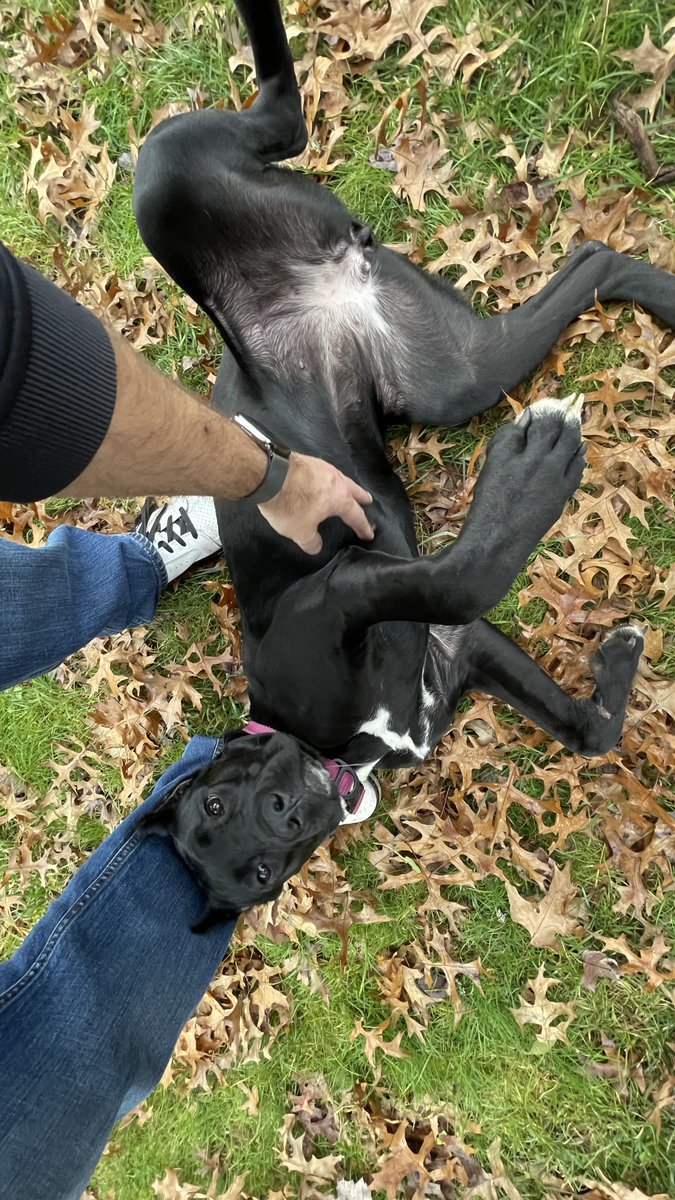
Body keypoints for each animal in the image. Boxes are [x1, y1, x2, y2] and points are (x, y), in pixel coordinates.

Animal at [133, 0, 667, 926]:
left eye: (218, 801)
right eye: (260, 873)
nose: (291, 812)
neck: (346, 745)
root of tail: (317, 284)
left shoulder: (334, 593)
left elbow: (459, 574)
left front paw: (531, 475)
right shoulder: (459, 650)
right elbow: (587, 731)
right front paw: (615, 667)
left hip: (164, 178)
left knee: (280, 114)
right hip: (455, 369)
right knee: (597, 261)